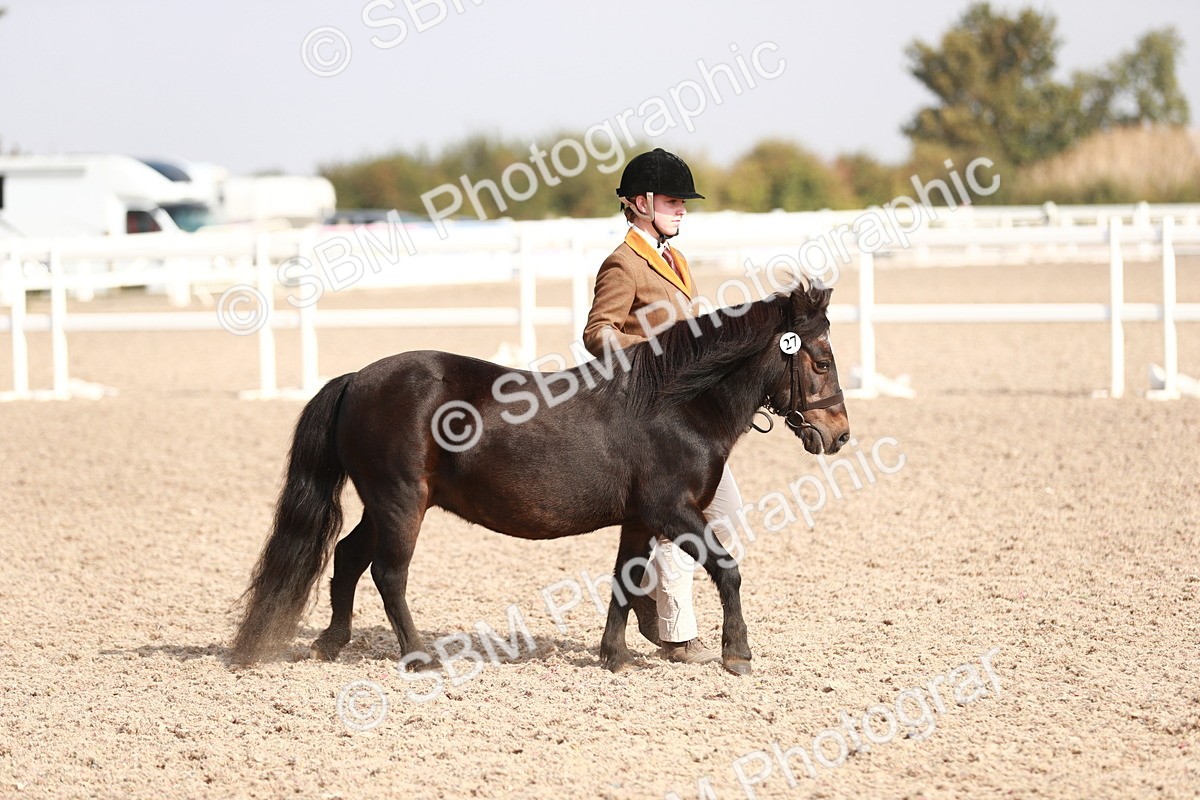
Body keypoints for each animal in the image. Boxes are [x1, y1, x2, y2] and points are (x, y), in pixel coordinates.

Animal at [230, 280, 849, 676]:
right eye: (820, 360)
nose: (839, 433)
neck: (676, 405)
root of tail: (358, 378)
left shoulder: (640, 519)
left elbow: (626, 581)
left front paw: (613, 655)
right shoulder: (674, 511)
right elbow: (727, 570)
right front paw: (737, 654)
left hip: (386, 504)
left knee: (348, 556)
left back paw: (332, 643)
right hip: (400, 502)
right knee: (388, 573)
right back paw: (418, 656)